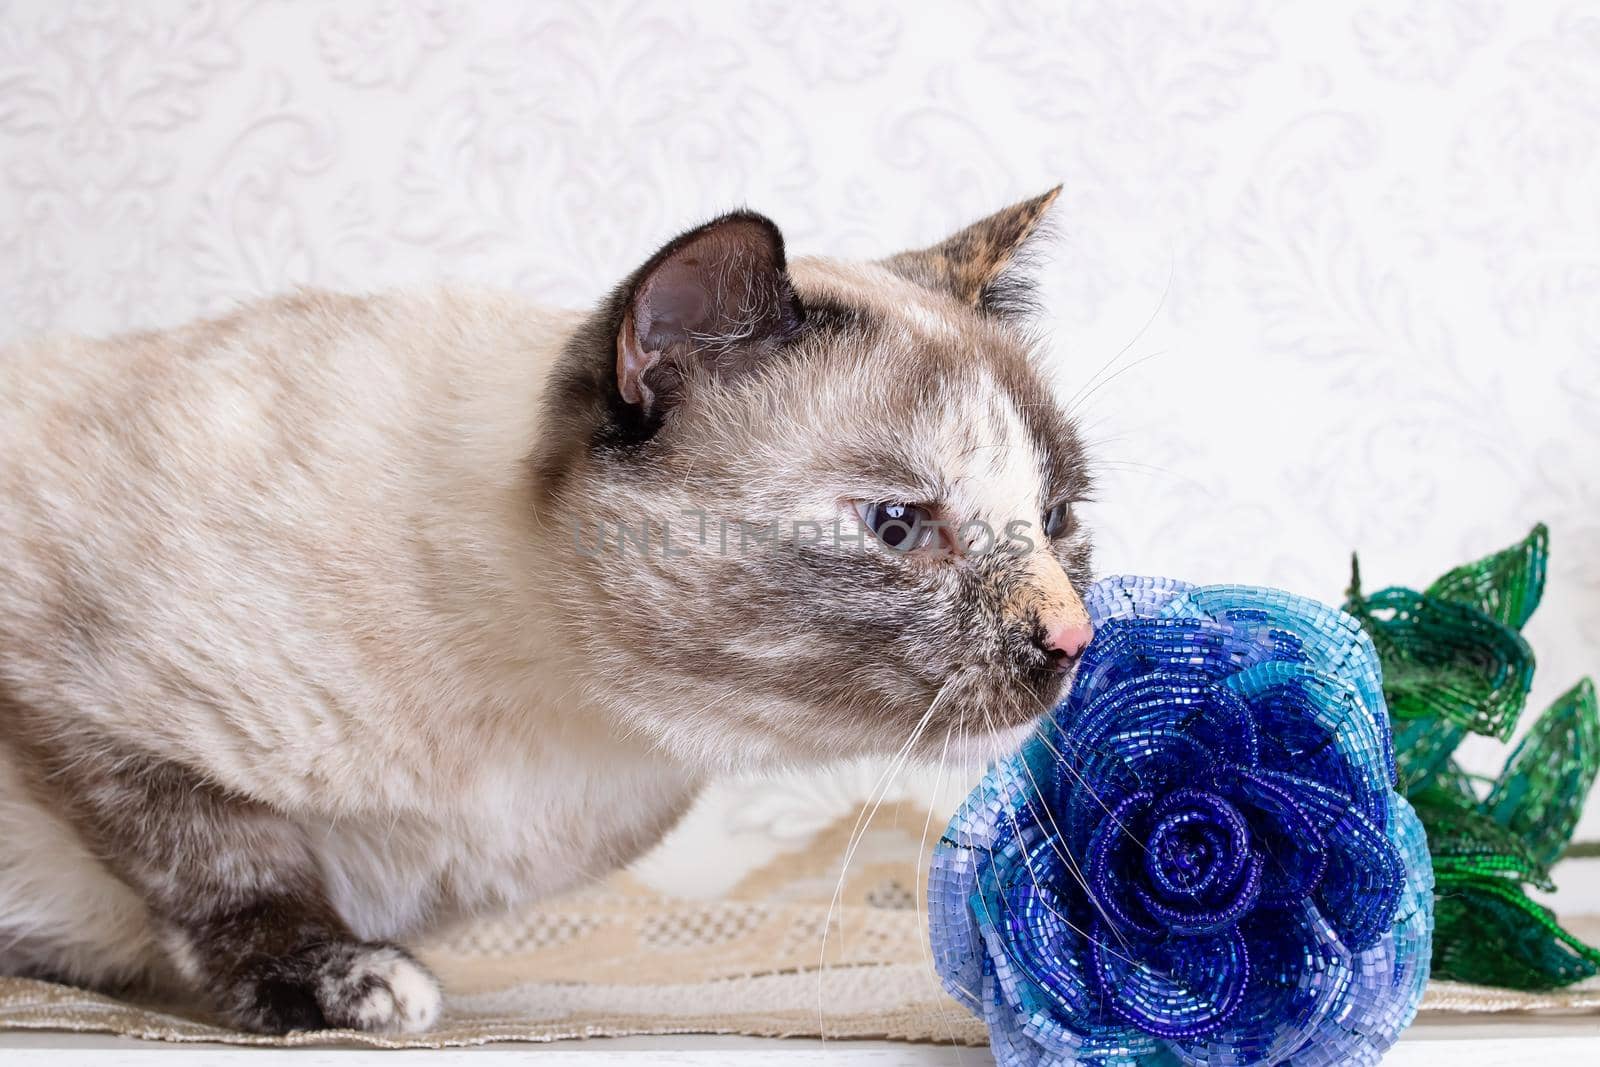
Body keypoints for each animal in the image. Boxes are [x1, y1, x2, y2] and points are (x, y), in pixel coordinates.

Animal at [0, 189, 1088, 1036]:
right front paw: (347, 982)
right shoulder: (74, 701)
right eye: (899, 527)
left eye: (1056, 519)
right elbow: (224, 863)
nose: (1073, 636)